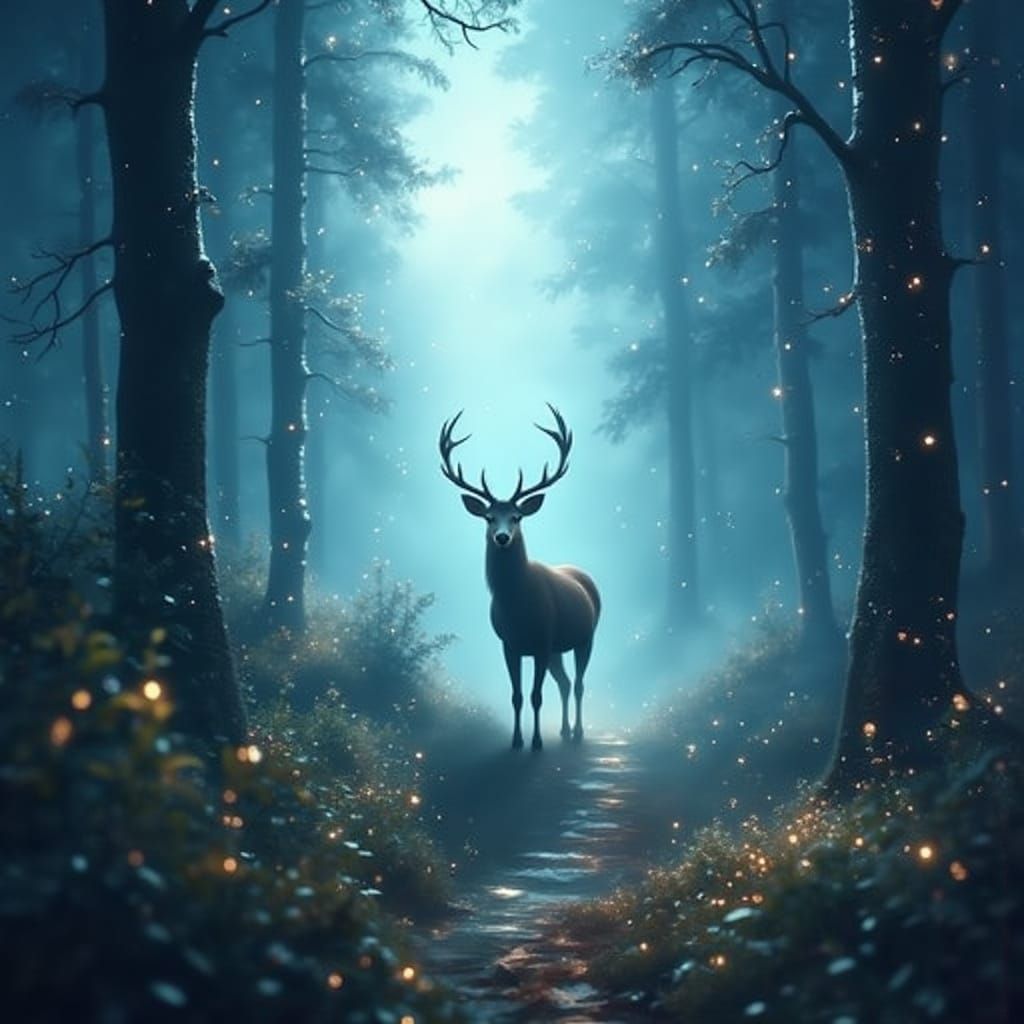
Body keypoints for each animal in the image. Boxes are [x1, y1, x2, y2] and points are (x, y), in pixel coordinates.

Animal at [439, 405, 601, 751]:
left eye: (517, 517)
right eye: (489, 517)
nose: (502, 537)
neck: (517, 606)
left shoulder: (541, 640)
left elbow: (536, 696)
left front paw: (536, 743)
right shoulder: (509, 644)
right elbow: (516, 696)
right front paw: (516, 741)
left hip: (586, 636)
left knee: (579, 683)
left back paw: (578, 732)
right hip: (557, 649)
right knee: (565, 682)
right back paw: (564, 731)